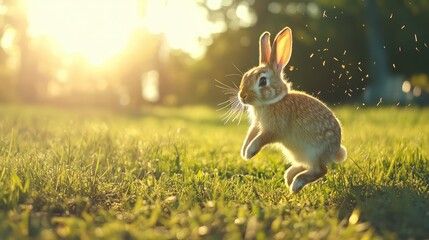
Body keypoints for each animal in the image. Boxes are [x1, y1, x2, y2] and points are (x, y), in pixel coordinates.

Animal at [239, 27, 346, 194]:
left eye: (262, 81)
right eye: (245, 76)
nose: (242, 96)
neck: (273, 101)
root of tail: (335, 151)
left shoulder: (273, 129)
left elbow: (260, 139)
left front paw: (250, 152)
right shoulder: (257, 125)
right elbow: (250, 135)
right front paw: (244, 152)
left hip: (314, 151)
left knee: (321, 170)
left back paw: (296, 184)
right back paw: (289, 177)